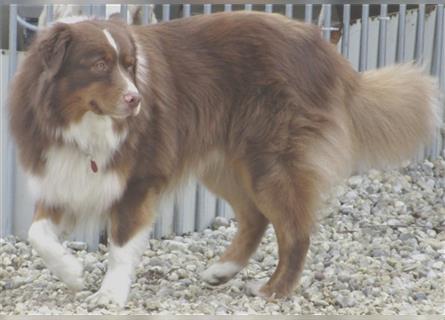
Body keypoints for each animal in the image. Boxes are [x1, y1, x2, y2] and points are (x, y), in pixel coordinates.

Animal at [8, 11, 438, 308]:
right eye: (98, 64)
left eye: (130, 66)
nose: (136, 99)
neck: (80, 124)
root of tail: (325, 50)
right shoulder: (62, 176)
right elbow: (37, 234)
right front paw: (72, 273)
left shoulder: (139, 180)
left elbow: (121, 243)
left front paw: (110, 294)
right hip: (226, 164)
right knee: (256, 217)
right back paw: (222, 271)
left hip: (271, 161)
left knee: (294, 230)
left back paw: (274, 290)